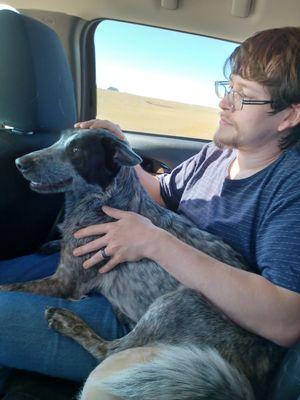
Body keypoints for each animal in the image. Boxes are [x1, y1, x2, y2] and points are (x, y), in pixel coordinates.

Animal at [2, 129, 286, 400]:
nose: (19, 162)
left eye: (75, 151)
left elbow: (10, 287)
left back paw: (67, 321)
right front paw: (52, 243)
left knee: (109, 350)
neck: (105, 201)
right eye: (58, 141)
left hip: (175, 303)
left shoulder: (65, 282)